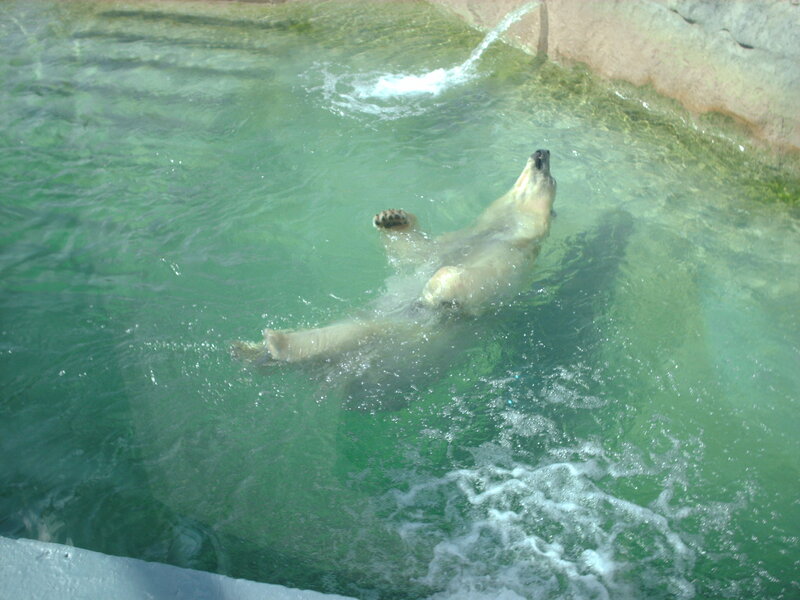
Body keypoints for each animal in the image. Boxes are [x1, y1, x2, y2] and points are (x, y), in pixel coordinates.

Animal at [232, 149, 556, 365]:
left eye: (552, 179)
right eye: (545, 167)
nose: (542, 152)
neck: (502, 229)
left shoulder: (510, 257)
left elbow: (479, 281)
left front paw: (433, 290)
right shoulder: (455, 240)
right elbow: (416, 250)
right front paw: (391, 217)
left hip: (398, 333)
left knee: (348, 334)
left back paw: (274, 345)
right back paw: (251, 348)